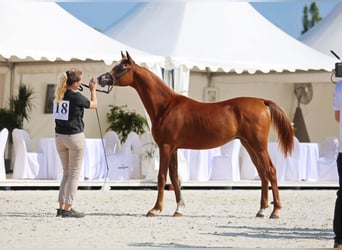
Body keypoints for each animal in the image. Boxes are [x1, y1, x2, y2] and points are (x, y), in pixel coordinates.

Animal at [99, 52, 294, 219]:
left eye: (122, 67)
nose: (101, 79)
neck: (166, 106)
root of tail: (262, 102)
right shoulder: (174, 148)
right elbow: (175, 177)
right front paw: (179, 209)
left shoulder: (165, 147)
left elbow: (161, 177)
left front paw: (155, 209)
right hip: (249, 145)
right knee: (262, 173)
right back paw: (261, 210)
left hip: (258, 145)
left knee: (271, 171)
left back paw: (275, 211)